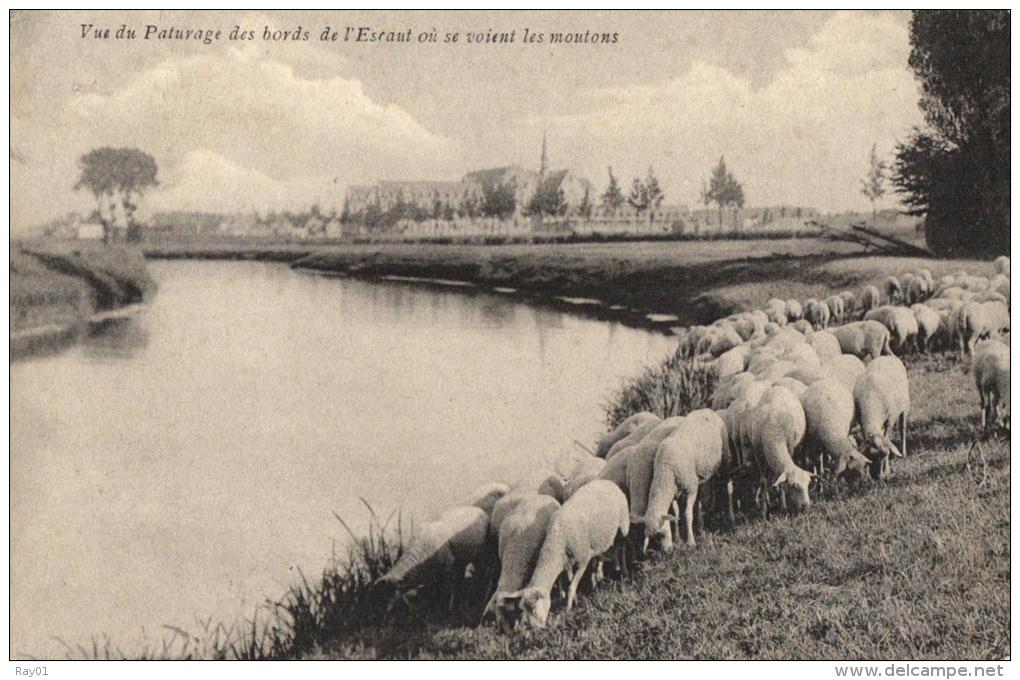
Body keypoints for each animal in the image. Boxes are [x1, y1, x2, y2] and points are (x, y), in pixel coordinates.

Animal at [501, 479, 628, 628]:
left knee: (622, 547)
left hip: (623, 525)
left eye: (534, 610)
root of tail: (607, 481)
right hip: (600, 538)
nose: (535, 629)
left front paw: (569, 608)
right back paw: (599, 576)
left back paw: (623, 570)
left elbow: (572, 586)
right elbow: (565, 583)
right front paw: (568, 599)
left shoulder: (582, 560)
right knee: (602, 553)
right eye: (523, 610)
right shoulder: (564, 563)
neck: (557, 542)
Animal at [636, 409, 734, 546]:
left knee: (728, 485)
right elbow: (676, 513)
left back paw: (731, 516)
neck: (666, 472)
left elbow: (687, 514)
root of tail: (708, 410)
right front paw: (677, 538)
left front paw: (690, 541)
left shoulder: (690, 489)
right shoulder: (674, 493)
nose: (667, 551)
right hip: (699, 475)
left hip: (725, 459)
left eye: (661, 534)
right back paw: (701, 525)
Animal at [750, 385, 811, 513]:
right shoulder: (758, 453)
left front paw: (783, 505)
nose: (806, 506)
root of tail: (779, 387)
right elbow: (763, 481)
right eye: (794, 486)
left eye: (808, 484)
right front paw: (763, 509)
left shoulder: (790, 447)